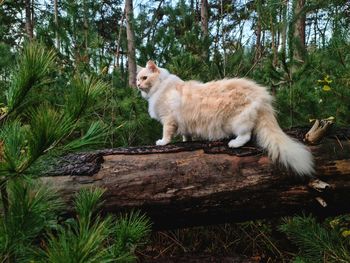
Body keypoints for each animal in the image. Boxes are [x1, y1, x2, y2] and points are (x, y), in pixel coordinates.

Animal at [136, 59, 314, 175]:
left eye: (144, 78)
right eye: (137, 78)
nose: (137, 85)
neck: (160, 86)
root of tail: (262, 95)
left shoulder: (168, 119)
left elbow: (167, 134)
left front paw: (162, 142)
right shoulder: (184, 123)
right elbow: (187, 135)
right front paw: (187, 142)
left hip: (237, 121)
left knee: (246, 135)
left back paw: (234, 143)